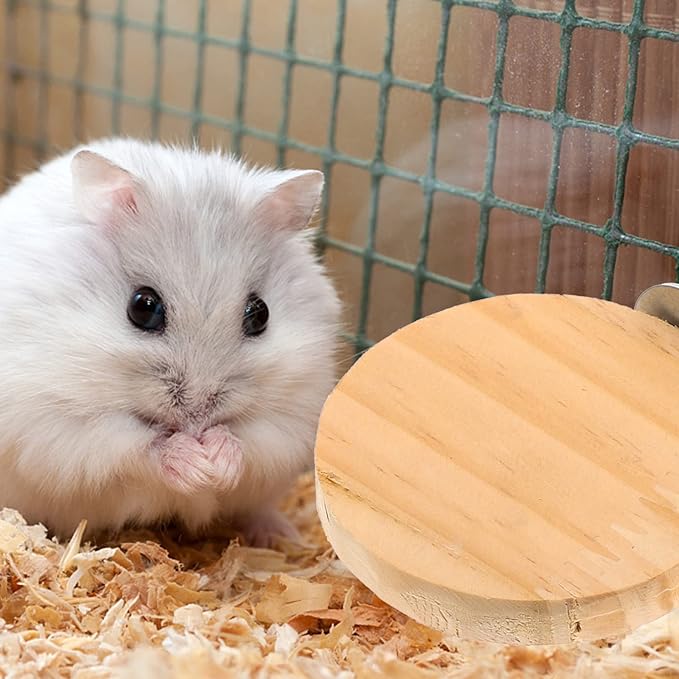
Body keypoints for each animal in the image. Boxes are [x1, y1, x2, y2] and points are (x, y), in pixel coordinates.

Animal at [0, 137, 341, 546]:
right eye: (143, 307)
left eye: (260, 314)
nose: (198, 418)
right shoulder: (59, 425)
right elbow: (136, 447)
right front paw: (196, 466)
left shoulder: (293, 416)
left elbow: (251, 440)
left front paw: (217, 463)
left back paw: (283, 536)